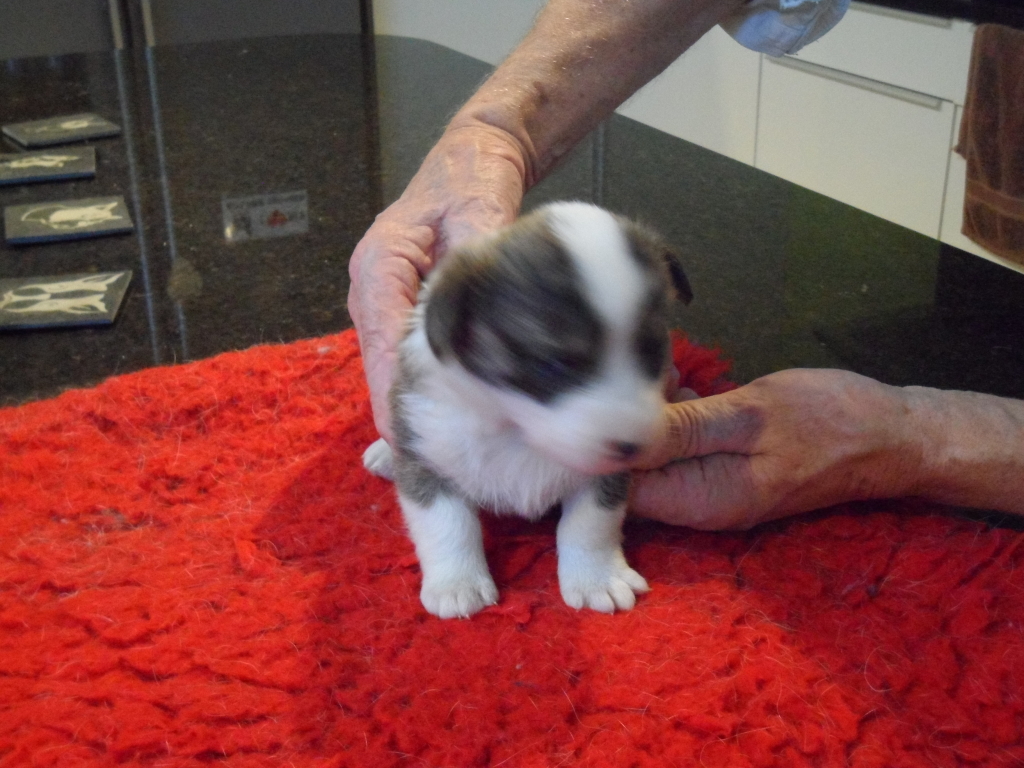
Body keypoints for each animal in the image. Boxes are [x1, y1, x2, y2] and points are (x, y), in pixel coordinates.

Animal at [362, 201, 692, 618]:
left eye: (651, 352)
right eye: (552, 365)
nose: (634, 447)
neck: (516, 429)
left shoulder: (604, 475)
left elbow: (591, 523)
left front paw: (595, 578)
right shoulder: (428, 452)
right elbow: (446, 522)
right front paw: (457, 584)